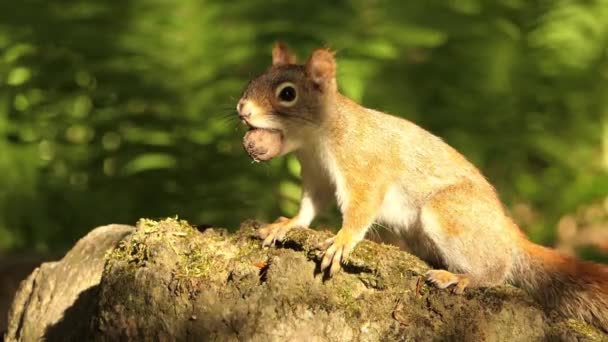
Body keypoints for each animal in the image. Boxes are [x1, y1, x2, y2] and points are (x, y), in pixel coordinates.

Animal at [236, 42, 608, 332]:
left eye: (287, 94)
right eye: (252, 80)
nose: (241, 109)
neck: (317, 140)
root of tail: (508, 232)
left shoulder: (365, 168)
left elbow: (360, 209)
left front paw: (341, 241)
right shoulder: (317, 176)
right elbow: (309, 207)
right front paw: (286, 224)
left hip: (447, 212)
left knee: (498, 269)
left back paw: (463, 278)